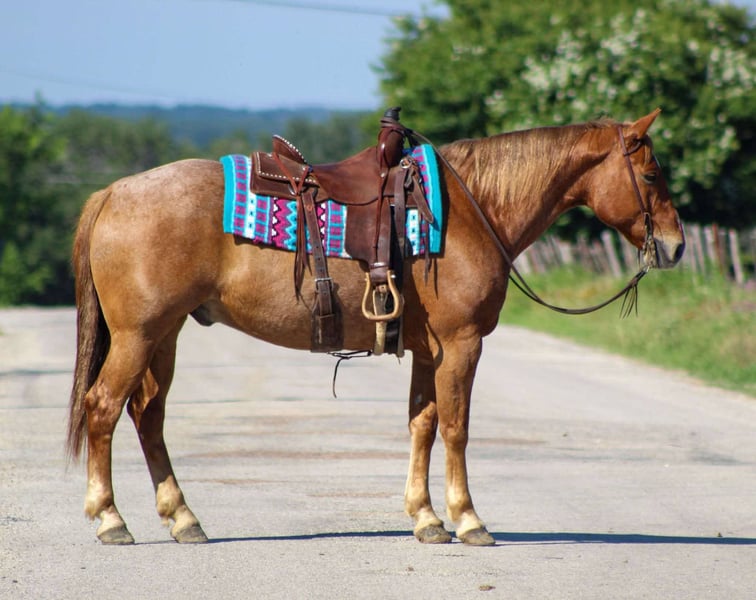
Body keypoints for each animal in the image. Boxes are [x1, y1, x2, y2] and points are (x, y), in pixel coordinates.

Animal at [67, 109, 685, 546]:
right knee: (104, 408)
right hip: (140, 336)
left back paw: (183, 519)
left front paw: (426, 518)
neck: (470, 209)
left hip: (164, 336)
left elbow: (423, 425)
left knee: (147, 416)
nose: (676, 246)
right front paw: (467, 519)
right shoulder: (461, 345)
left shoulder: (429, 351)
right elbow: (456, 428)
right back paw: (110, 519)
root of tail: (114, 192)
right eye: (652, 173)